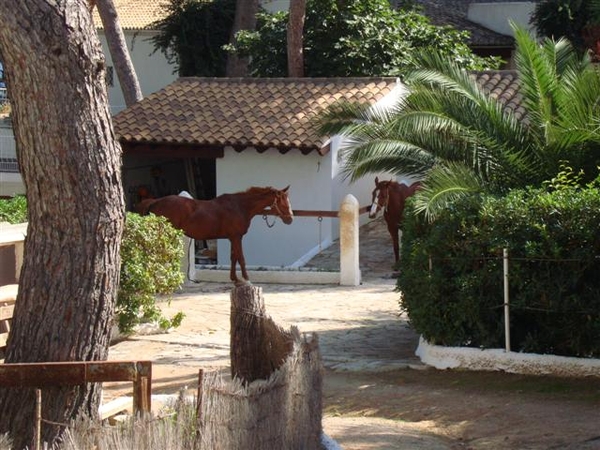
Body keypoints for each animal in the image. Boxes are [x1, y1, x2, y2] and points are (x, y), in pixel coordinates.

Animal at [138, 185, 292, 282]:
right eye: (282, 202)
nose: (290, 219)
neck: (240, 206)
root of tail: (154, 202)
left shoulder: (232, 238)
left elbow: (233, 258)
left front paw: (235, 279)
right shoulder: (237, 237)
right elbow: (241, 258)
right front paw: (246, 279)